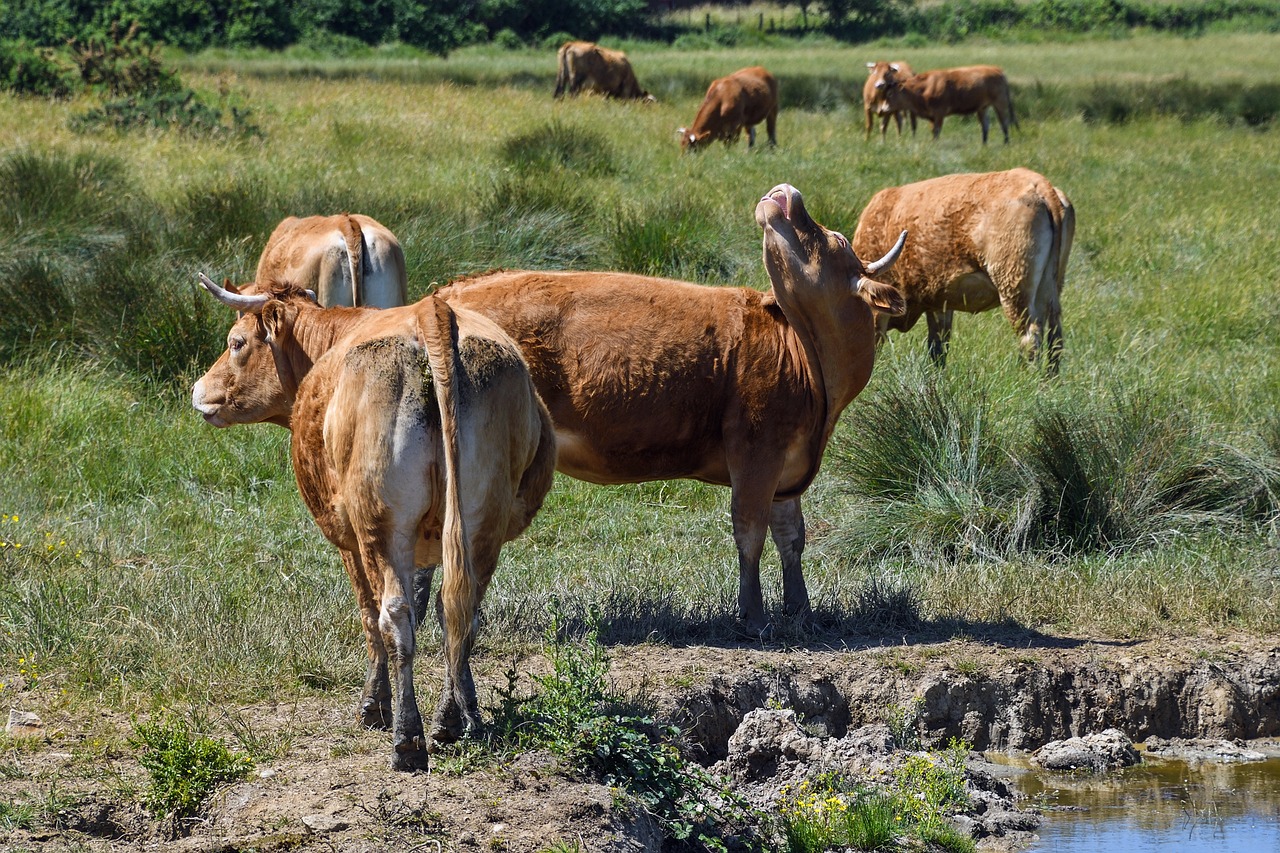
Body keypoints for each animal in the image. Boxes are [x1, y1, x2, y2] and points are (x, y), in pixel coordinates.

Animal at [190, 275, 555, 768]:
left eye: (237, 343)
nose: (198, 389)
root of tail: (431, 313)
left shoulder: (348, 538)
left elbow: (369, 613)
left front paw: (374, 705)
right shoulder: (429, 544)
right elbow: (429, 603)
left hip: (379, 525)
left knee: (393, 616)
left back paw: (407, 738)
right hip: (482, 522)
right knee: (460, 612)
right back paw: (454, 719)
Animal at [435, 180, 906, 630]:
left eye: (836, 240)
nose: (785, 191)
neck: (808, 362)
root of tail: (448, 292)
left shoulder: (787, 467)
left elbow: (791, 536)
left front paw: (800, 609)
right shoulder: (757, 450)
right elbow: (750, 531)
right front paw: (754, 616)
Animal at [855, 167, 1075, 373]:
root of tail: (1041, 185)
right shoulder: (939, 302)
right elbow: (938, 347)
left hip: (1014, 288)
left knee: (1030, 336)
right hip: (1050, 288)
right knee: (1055, 336)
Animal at [880, 64, 1018, 143]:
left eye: (890, 94)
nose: (882, 109)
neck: (923, 89)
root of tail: (998, 70)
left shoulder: (939, 114)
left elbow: (936, 132)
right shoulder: (932, 116)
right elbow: (933, 131)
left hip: (1000, 103)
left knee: (1004, 123)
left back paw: (1006, 143)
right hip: (983, 108)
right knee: (985, 126)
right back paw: (984, 145)